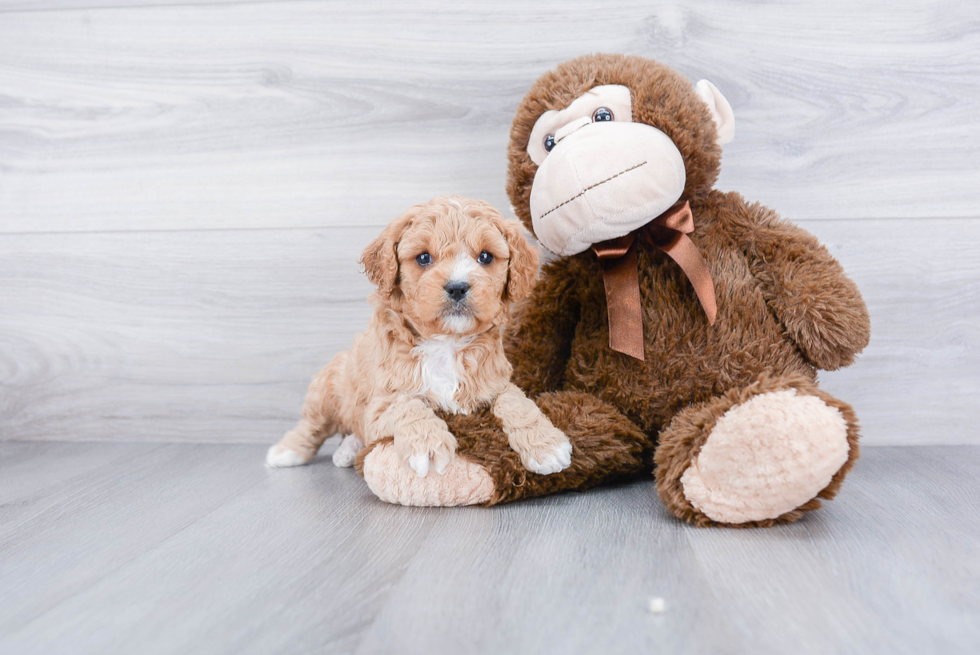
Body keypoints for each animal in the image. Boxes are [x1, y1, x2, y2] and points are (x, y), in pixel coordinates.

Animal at [268, 195, 576, 476]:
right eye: (424, 258)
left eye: (486, 256)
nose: (457, 287)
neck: (445, 342)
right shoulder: (377, 406)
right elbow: (407, 403)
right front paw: (427, 446)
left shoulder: (494, 382)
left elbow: (516, 399)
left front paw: (546, 445)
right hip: (327, 388)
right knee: (313, 426)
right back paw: (287, 451)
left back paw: (347, 450)